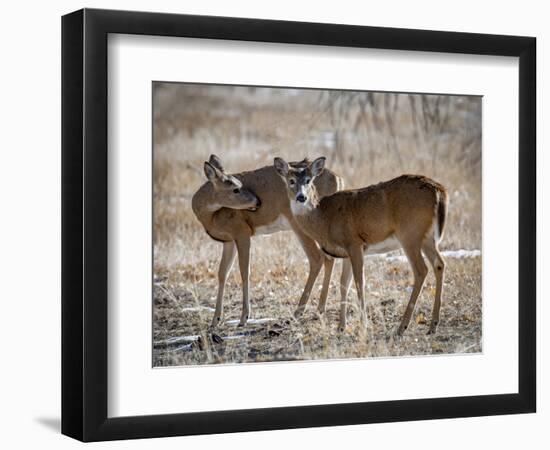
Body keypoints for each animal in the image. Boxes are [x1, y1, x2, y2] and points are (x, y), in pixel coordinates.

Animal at [193, 155, 344, 326]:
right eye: (235, 188)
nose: (258, 202)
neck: (210, 217)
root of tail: (338, 179)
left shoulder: (242, 231)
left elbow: (244, 271)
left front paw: (244, 317)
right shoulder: (228, 241)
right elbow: (222, 273)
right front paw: (215, 320)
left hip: (299, 222)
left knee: (317, 257)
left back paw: (298, 312)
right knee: (328, 258)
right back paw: (319, 310)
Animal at [274, 156, 450, 336]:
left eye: (309, 180)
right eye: (291, 180)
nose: (301, 197)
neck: (325, 219)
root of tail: (438, 190)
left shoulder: (355, 243)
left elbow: (359, 282)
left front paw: (363, 324)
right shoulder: (346, 252)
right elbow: (344, 284)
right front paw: (341, 327)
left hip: (410, 233)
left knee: (421, 270)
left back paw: (402, 327)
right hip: (427, 237)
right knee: (439, 264)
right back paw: (433, 325)